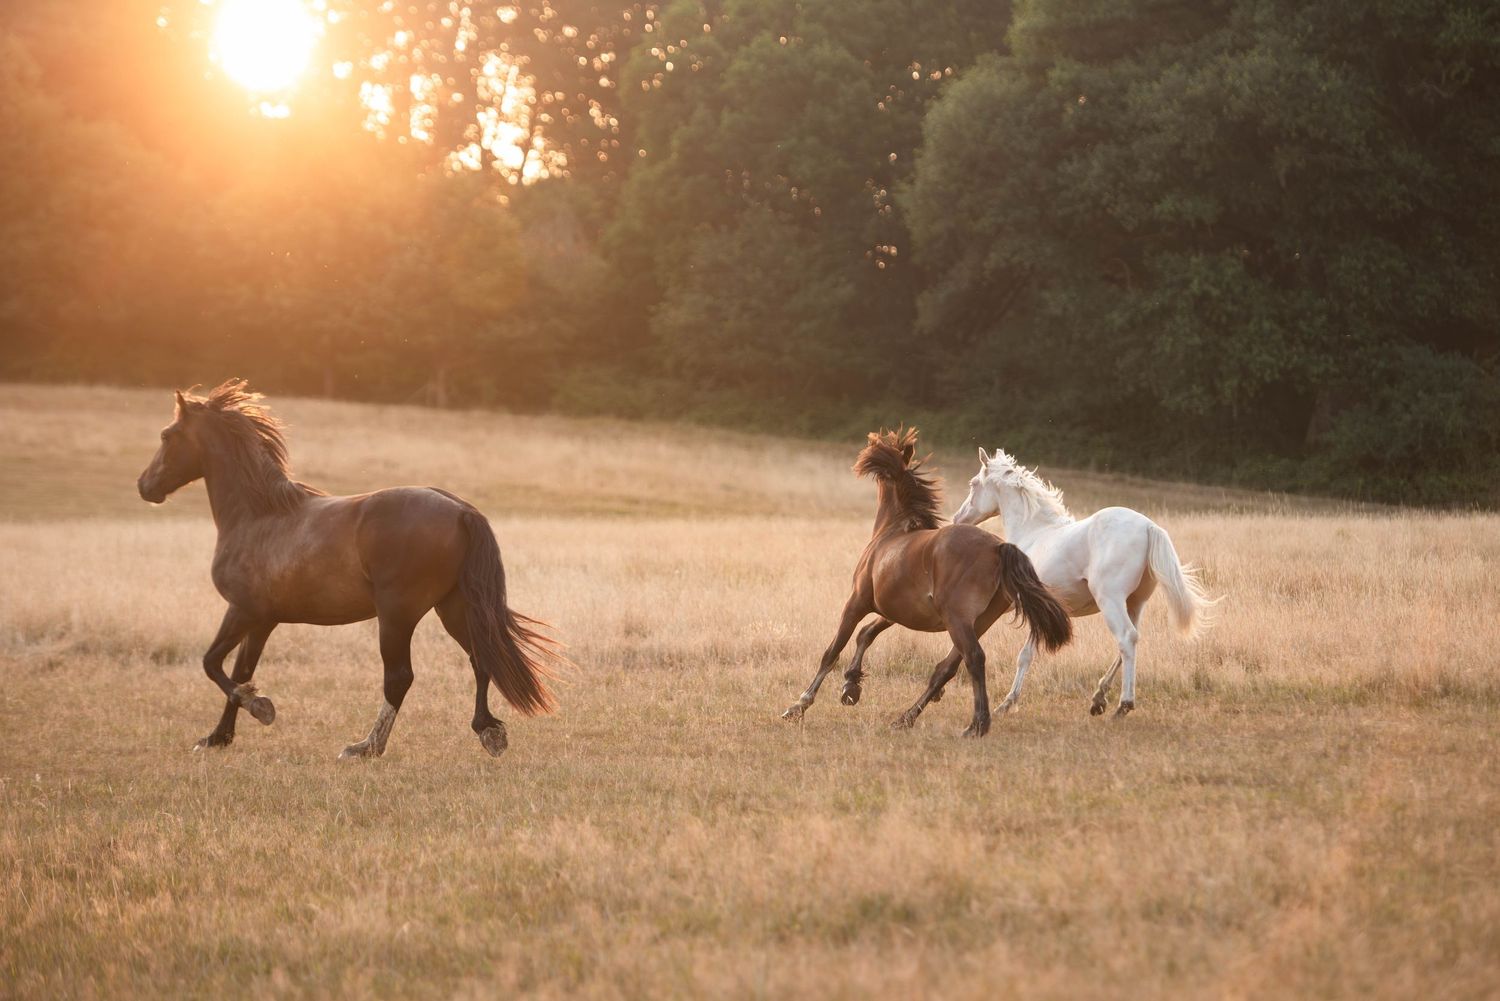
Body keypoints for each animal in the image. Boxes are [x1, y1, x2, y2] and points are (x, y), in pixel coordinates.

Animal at [136, 379, 559, 759]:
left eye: (167, 435)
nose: (144, 486)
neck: (257, 517)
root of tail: (461, 510)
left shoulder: (242, 610)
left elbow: (212, 664)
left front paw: (261, 708)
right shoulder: (263, 620)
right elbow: (241, 671)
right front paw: (218, 737)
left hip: (397, 615)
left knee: (399, 677)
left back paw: (365, 747)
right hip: (452, 606)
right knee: (480, 658)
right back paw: (489, 732)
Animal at [781, 429, 1072, 737]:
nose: (867, 451)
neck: (892, 531)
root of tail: (998, 547)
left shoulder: (857, 601)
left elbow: (834, 649)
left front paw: (799, 706)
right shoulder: (893, 611)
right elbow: (866, 634)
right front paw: (851, 686)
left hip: (957, 619)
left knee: (973, 659)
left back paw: (976, 725)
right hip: (979, 621)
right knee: (947, 667)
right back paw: (907, 718)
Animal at [952, 447, 1218, 717]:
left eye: (973, 484)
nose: (958, 518)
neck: (1034, 533)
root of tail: (1149, 526)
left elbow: (1024, 655)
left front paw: (1005, 704)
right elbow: (1027, 653)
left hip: (1110, 600)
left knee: (1126, 638)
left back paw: (1123, 705)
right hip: (1135, 603)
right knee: (1130, 641)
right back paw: (1099, 698)